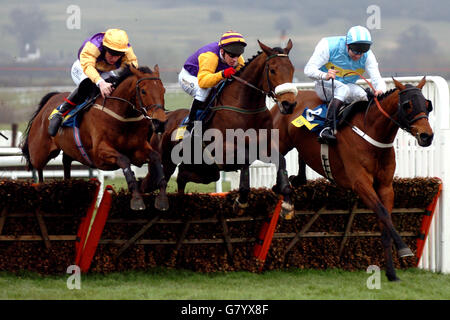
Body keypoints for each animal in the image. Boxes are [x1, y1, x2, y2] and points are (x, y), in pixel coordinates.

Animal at [21, 64, 169, 211]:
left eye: (163, 90)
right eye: (143, 91)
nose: (160, 122)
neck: (122, 115)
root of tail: (50, 100)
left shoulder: (138, 150)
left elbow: (155, 157)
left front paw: (162, 199)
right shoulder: (99, 153)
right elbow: (124, 160)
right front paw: (137, 199)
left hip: (69, 150)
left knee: (66, 164)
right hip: (39, 153)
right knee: (39, 172)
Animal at [148, 39, 300, 215]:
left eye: (292, 69)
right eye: (273, 70)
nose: (289, 104)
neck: (247, 109)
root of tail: (163, 120)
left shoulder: (264, 147)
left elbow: (281, 161)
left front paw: (287, 202)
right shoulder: (222, 152)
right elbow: (245, 159)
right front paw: (241, 200)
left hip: (204, 171)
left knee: (182, 177)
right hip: (166, 162)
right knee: (158, 181)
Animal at [268, 77, 434, 280]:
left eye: (427, 104)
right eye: (407, 105)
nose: (427, 136)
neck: (371, 133)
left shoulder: (386, 186)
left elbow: (385, 219)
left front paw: (391, 273)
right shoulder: (360, 183)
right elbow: (382, 212)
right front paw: (404, 248)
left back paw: (290, 184)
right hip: (278, 141)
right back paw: (285, 198)